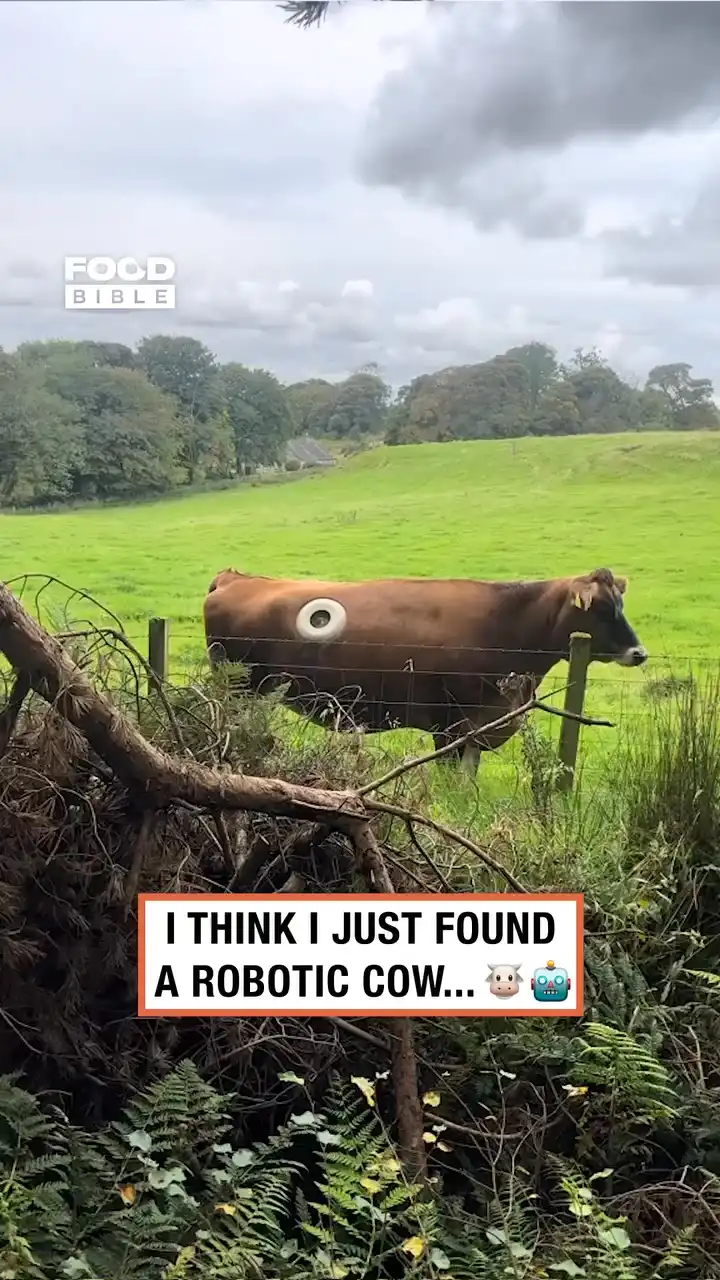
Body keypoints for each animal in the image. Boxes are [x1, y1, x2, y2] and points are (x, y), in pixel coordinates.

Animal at [202, 566, 647, 775]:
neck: (506, 624)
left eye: (620, 604)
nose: (639, 653)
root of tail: (235, 578)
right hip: (240, 690)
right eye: (601, 608)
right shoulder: (451, 725)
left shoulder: (477, 728)